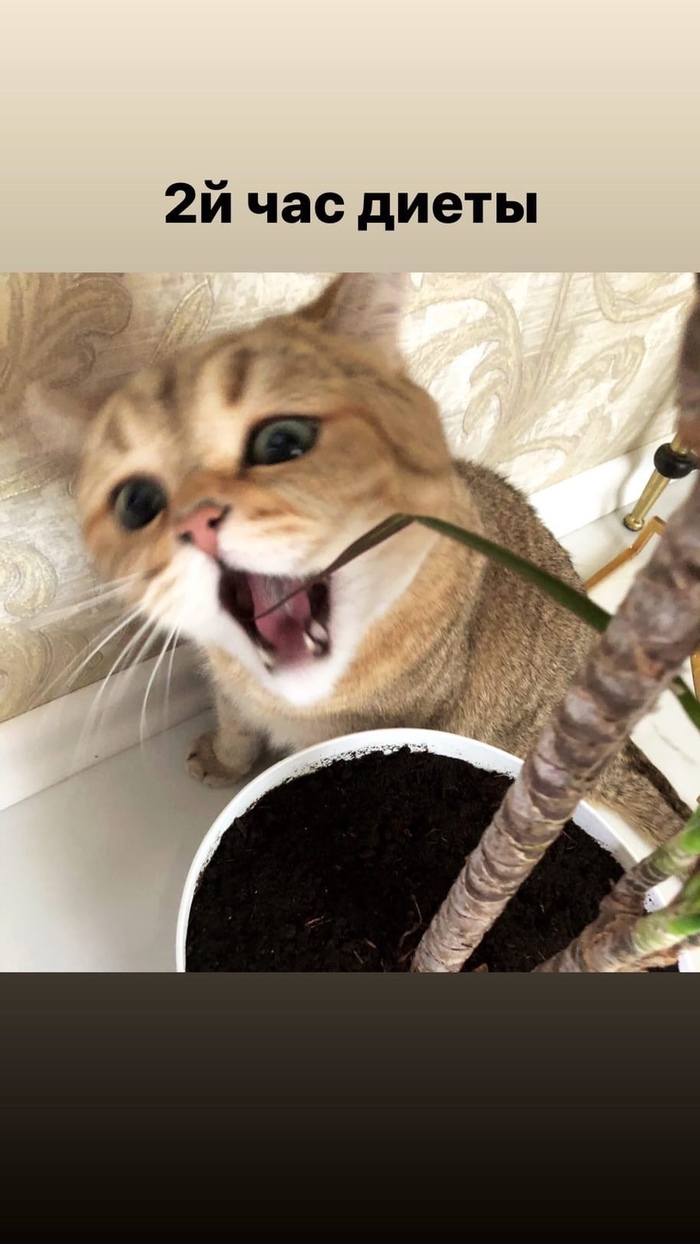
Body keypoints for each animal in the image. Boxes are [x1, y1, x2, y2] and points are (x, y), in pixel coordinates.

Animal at [49, 272, 690, 845]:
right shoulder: (232, 693)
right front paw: (226, 760)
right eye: (139, 501)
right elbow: (235, 724)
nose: (195, 521)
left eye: (283, 443)